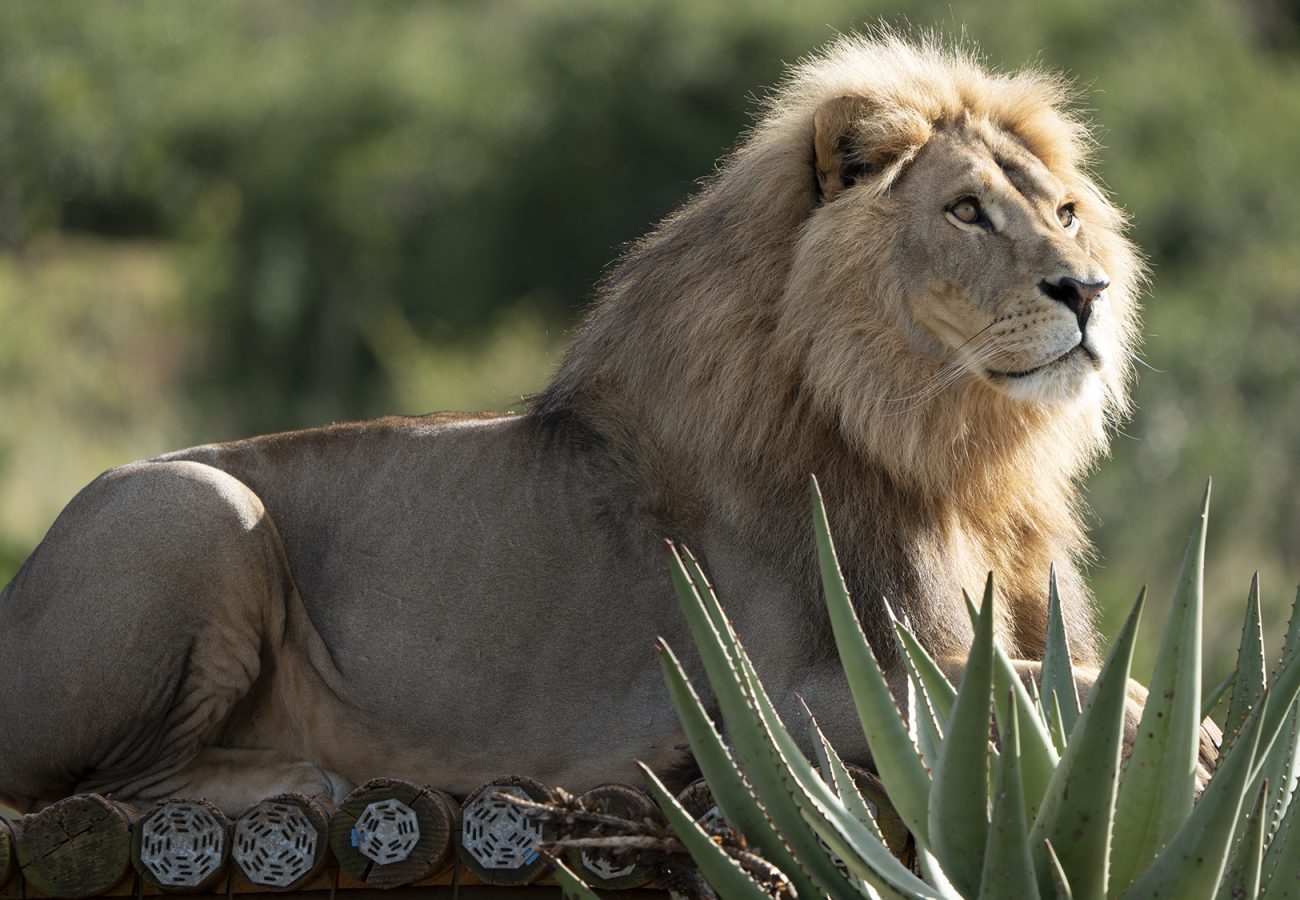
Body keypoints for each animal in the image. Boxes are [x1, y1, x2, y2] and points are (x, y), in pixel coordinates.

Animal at [0, 33, 1138, 816]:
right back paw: (306, 777)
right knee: (95, 785)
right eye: (966, 211)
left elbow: (1077, 674)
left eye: (1066, 212)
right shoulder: (791, 698)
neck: (962, 459)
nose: (1085, 291)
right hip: (196, 502)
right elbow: (1072, 690)